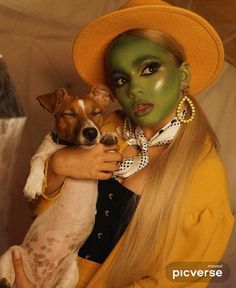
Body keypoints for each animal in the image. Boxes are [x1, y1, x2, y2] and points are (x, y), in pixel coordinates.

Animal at [0, 84, 118, 286]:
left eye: (96, 113)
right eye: (69, 114)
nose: (91, 132)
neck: (70, 147)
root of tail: (40, 282)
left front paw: (108, 136)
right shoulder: (41, 154)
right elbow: (37, 161)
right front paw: (33, 186)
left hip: (70, 274)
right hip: (12, 252)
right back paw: (5, 281)